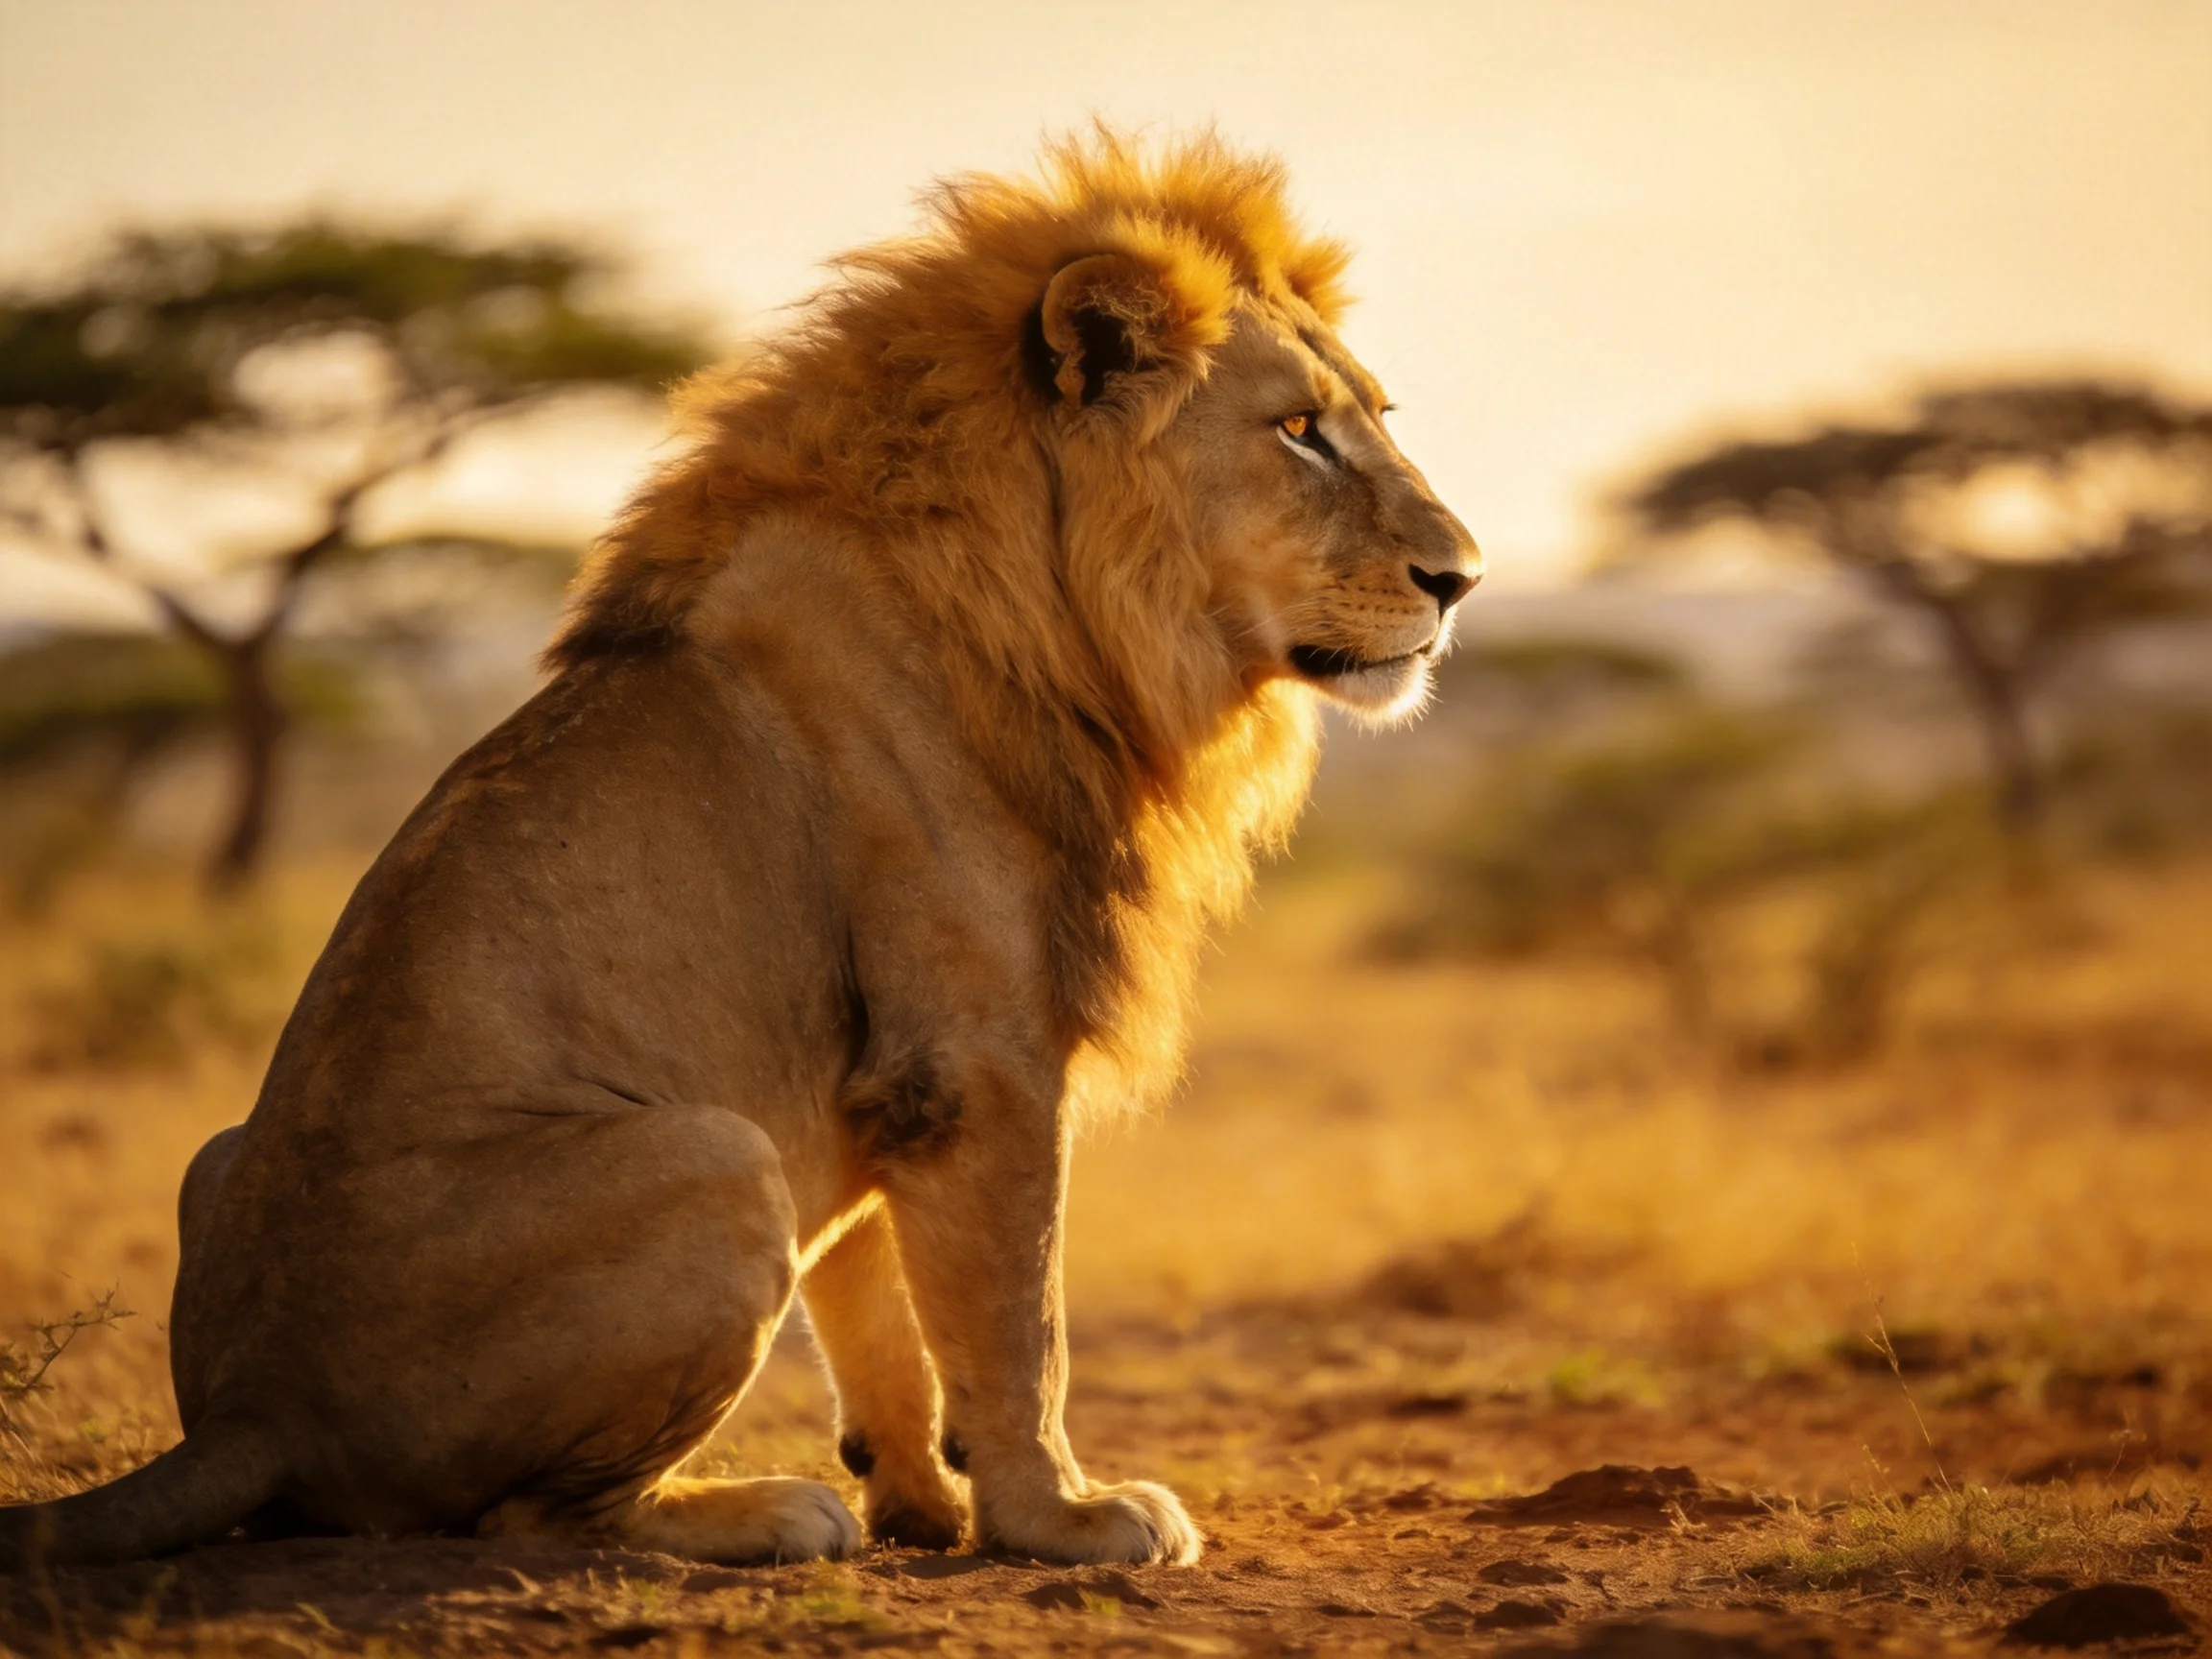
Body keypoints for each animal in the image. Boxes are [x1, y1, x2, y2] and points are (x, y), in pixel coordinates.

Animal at [0, 131, 1478, 1571]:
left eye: (1375, 419)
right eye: (1298, 432)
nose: (1461, 579)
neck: (1063, 610)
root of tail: (251, 1407)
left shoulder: (881, 1085)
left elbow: (880, 1314)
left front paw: (926, 1511)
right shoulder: (978, 1056)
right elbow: (1020, 1326)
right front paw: (1060, 1517)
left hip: (231, 1155)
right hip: (714, 1154)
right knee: (539, 1517)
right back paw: (761, 1512)